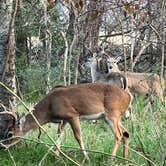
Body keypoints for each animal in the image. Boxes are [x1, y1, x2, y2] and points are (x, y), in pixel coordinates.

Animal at [0, 83, 132, 158]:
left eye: (10, 133)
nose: (2, 146)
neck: (49, 107)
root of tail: (128, 96)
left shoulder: (72, 115)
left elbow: (78, 137)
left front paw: (86, 157)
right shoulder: (63, 120)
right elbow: (59, 135)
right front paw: (56, 155)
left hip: (112, 113)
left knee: (119, 135)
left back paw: (112, 158)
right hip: (111, 117)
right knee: (126, 133)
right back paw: (125, 159)